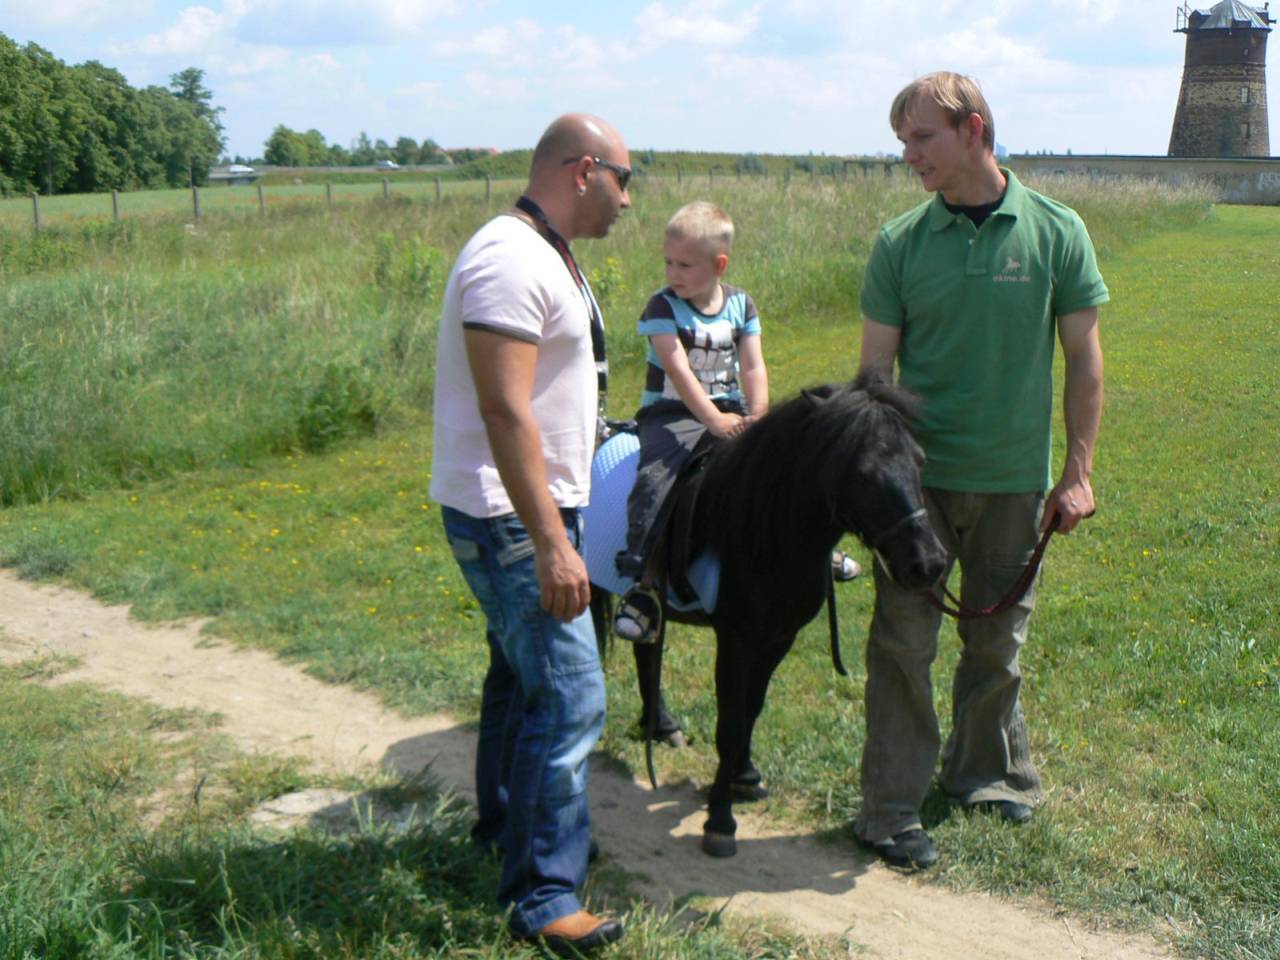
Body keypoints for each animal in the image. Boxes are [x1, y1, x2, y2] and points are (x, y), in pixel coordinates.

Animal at [593, 371, 947, 860]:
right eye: (863, 474)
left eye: (920, 460)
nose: (929, 564)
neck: (764, 526)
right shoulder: (736, 639)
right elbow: (729, 722)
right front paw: (720, 821)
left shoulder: (779, 637)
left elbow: (751, 709)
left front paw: (743, 777)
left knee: (647, 655)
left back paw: (662, 726)